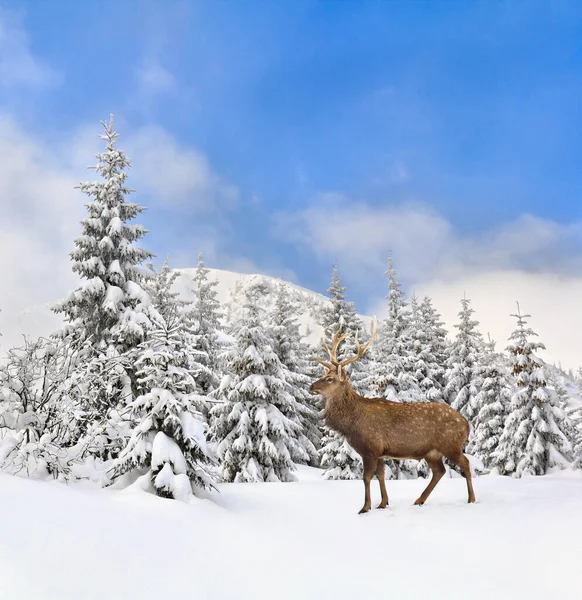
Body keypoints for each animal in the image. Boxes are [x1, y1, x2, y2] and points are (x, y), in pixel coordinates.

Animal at [312, 322, 476, 512]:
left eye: (329, 379)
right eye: (323, 375)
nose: (311, 386)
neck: (352, 424)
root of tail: (466, 424)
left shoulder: (371, 448)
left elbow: (366, 478)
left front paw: (365, 507)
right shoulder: (380, 453)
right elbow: (381, 475)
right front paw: (383, 503)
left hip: (450, 444)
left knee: (465, 463)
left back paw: (471, 499)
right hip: (432, 452)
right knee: (439, 471)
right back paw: (419, 500)